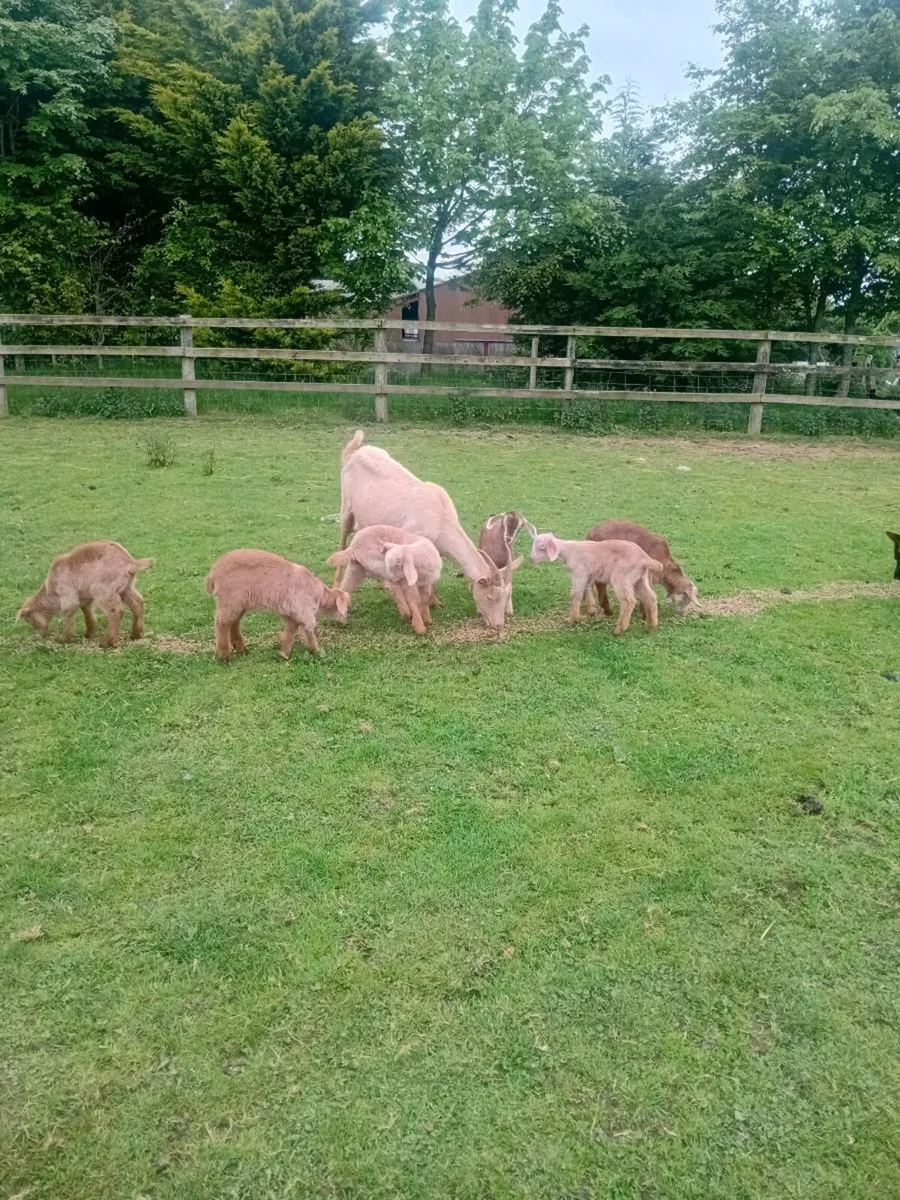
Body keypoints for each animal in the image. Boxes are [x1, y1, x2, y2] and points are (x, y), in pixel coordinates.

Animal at [17, 541, 154, 647]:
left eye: (29, 620)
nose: (42, 635)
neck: (51, 591)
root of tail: (130, 563)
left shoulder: (68, 596)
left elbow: (68, 614)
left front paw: (64, 639)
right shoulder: (84, 598)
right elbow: (87, 612)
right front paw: (88, 633)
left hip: (103, 590)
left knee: (116, 611)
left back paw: (107, 643)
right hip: (126, 587)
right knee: (138, 603)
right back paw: (136, 635)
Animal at [206, 549, 350, 661]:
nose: (345, 620)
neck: (320, 596)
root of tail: (213, 574)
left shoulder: (292, 613)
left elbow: (290, 631)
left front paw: (284, 653)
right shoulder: (305, 612)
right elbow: (309, 631)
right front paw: (317, 651)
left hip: (239, 603)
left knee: (234, 622)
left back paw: (241, 649)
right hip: (230, 600)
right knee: (222, 623)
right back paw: (224, 656)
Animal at [531, 533, 662, 635]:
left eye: (542, 548)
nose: (531, 559)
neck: (569, 551)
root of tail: (646, 559)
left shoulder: (579, 573)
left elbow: (575, 595)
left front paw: (572, 619)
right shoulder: (588, 575)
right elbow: (587, 589)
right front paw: (591, 611)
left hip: (622, 577)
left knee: (628, 600)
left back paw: (620, 629)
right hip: (639, 578)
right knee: (650, 597)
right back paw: (651, 626)